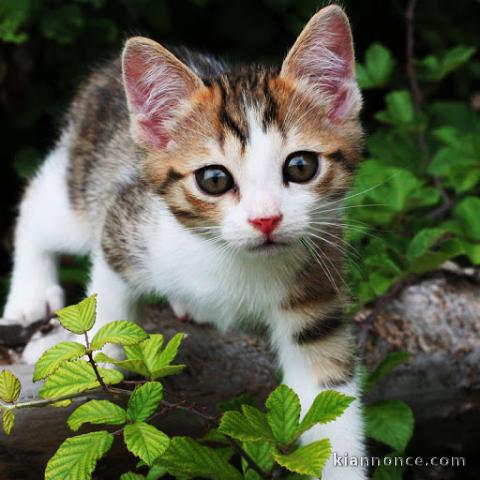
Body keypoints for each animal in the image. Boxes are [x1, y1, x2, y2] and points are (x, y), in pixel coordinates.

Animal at [2, 5, 364, 478]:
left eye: (301, 166)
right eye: (214, 179)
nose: (266, 219)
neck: (232, 258)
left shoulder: (318, 290)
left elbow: (328, 393)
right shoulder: (124, 223)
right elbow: (107, 306)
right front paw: (90, 353)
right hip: (83, 184)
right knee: (38, 205)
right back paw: (29, 295)